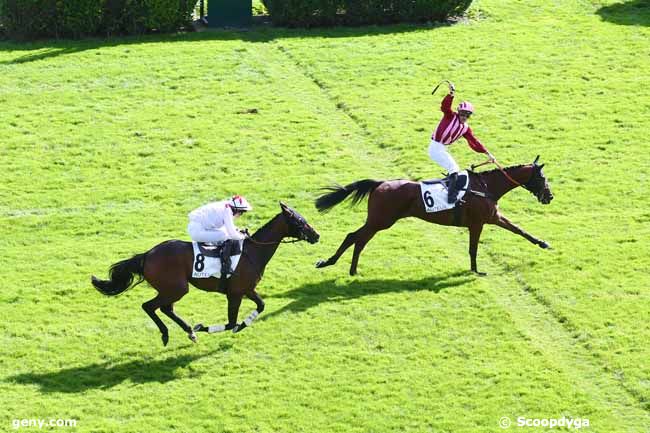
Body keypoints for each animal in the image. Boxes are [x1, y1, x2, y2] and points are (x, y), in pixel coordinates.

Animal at [92, 201, 320, 346]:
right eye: (299, 221)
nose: (316, 235)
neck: (253, 252)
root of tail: (147, 255)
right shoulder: (235, 294)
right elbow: (231, 323)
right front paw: (206, 327)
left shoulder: (247, 289)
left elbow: (261, 306)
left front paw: (243, 324)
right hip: (177, 288)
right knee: (149, 306)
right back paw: (168, 334)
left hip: (172, 289)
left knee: (165, 308)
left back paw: (189, 332)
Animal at [314, 157, 552, 276]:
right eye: (542, 178)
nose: (549, 196)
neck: (486, 187)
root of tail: (379, 183)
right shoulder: (478, 223)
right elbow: (473, 248)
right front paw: (476, 271)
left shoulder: (493, 217)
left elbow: (519, 230)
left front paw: (543, 243)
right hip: (380, 221)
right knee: (355, 237)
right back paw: (339, 265)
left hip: (378, 221)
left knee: (356, 238)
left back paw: (343, 267)